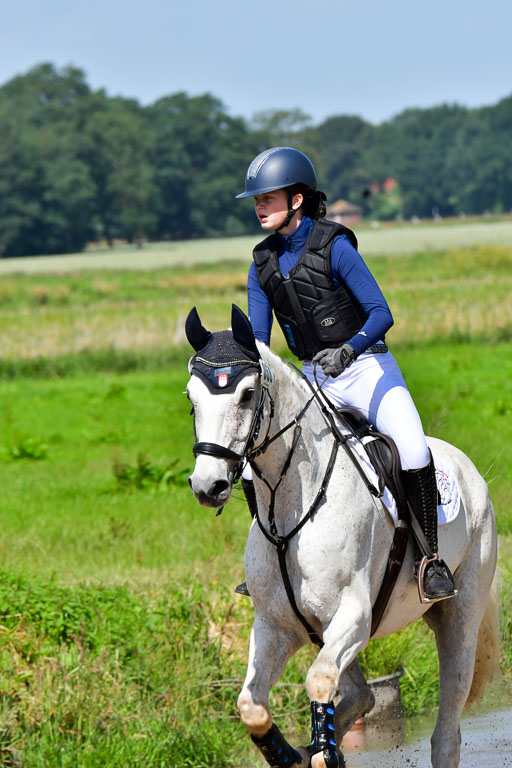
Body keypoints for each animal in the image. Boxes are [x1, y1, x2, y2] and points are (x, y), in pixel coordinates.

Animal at [185, 304, 499, 768]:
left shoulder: (354, 616)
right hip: (323, 630)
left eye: (245, 394)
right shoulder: (276, 626)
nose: (208, 486)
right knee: (362, 696)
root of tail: (471, 471)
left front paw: (320, 750)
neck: (292, 510)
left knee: (446, 731)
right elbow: (251, 706)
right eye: (192, 399)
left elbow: (318, 681)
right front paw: (292, 753)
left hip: (459, 614)